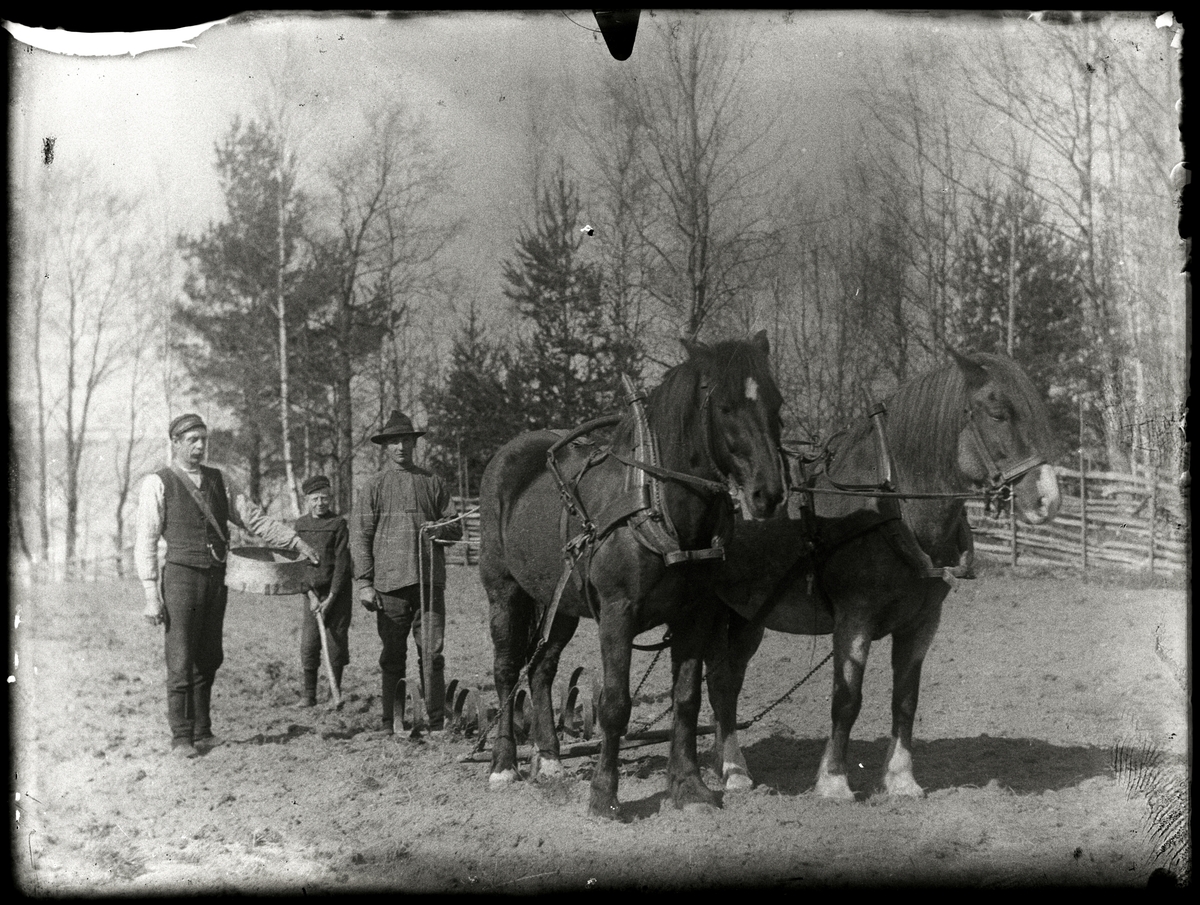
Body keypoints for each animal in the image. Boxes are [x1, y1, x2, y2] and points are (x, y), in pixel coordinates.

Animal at [480, 331, 787, 819]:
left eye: (778, 402)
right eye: (725, 407)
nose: (769, 494)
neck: (656, 503)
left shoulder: (694, 615)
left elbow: (686, 699)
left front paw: (689, 787)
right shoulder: (617, 614)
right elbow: (614, 705)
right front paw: (605, 795)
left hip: (559, 602)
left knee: (542, 670)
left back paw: (549, 761)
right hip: (504, 591)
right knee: (507, 670)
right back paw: (504, 764)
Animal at [704, 350, 1062, 799]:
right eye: (999, 414)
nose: (1048, 499)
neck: (888, 508)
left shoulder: (922, 621)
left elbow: (905, 699)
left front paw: (901, 778)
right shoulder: (854, 617)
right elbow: (846, 699)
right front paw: (834, 781)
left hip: (747, 616)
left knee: (725, 682)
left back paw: (726, 764)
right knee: (722, 685)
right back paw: (734, 770)